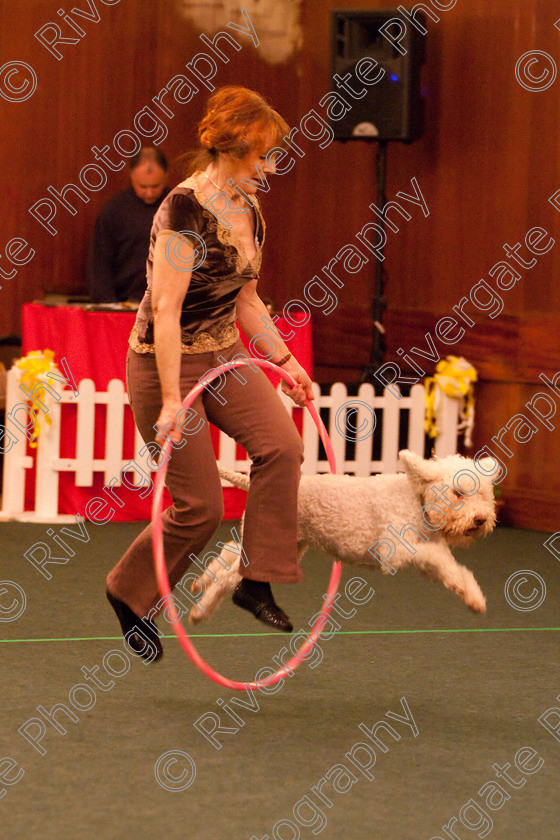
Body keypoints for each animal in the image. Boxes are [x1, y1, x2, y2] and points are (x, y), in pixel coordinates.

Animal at [190, 452, 496, 624]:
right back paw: (200, 611)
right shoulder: (396, 551)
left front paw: (474, 598)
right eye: (458, 492)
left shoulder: (424, 556)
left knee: (230, 551)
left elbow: (451, 568)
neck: (415, 499)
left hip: (284, 545)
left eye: (484, 494)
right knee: (228, 577)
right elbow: (437, 556)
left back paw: (200, 582)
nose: (481, 519)